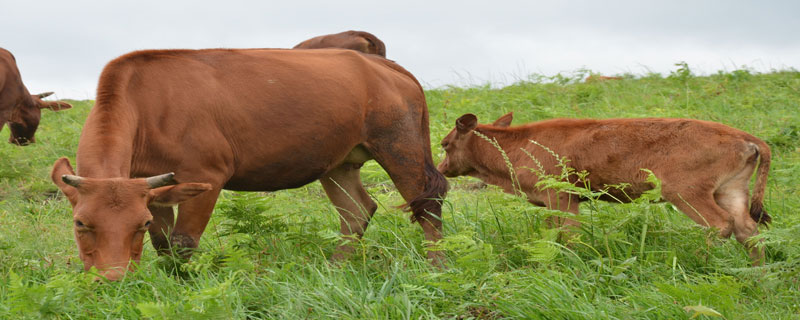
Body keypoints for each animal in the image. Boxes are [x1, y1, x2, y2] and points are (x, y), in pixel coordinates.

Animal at [52, 47, 446, 280]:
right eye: (80, 223)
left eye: (138, 223)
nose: (112, 279)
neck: (147, 106)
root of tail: (384, 64)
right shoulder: (152, 185)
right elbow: (163, 242)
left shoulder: (206, 175)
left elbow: (182, 241)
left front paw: (182, 284)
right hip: (339, 161)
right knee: (356, 210)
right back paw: (335, 268)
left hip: (398, 142)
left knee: (427, 202)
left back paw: (436, 268)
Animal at [440, 112, 772, 264]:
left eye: (444, 144)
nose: (442, 168)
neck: (519, 146)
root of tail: (745, 136)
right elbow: (552, 234)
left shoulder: (562, 197)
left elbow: (570, 235)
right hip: (730, 189)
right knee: (747, 229)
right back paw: (758, 273)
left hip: (687, 192)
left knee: (719, 225)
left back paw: (701, 262)